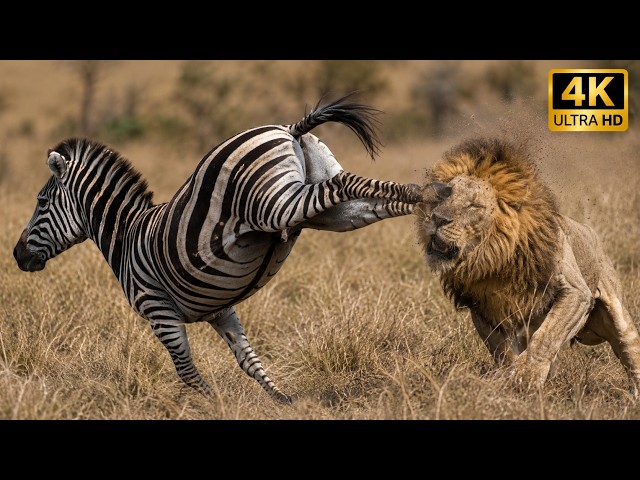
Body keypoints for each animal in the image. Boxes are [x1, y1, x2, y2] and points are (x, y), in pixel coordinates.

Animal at [13, 94, 422, 404]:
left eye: (41, 202)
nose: (17, 255)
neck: (125, 238)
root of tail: (287, 128)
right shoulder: (220, 309)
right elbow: (248, 360)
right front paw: (283, 401)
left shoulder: (158, 310)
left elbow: (186, 371)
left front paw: (214, 405)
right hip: (329, 212)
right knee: (363, 190)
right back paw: (429, 199)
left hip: (275, 205)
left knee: (342, 186)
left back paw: (432, 201)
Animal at [415, 136, 640, 398]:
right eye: (442, 198)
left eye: (473, 206)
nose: (437, 218)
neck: (496, 258)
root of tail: (591, 232)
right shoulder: (484, 309)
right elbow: (504, 352)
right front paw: (506, 380)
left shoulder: (575, 292)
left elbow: (546, 337)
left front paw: (526, 378)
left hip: (619, 317)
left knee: (630, 349)